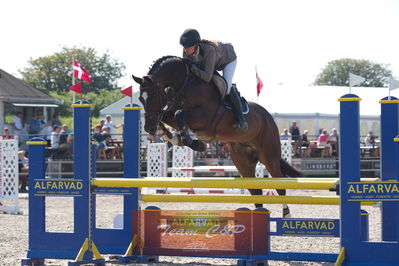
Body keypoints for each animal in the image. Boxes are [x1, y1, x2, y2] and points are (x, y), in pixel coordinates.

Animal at [133, 55, 304, 217]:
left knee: (280, 186)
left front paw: (194, 143)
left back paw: (286, 214)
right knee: (256, 191)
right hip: (243, 162)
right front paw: (169, 135)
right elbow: (167, 116)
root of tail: (268, 117)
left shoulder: (205, 118)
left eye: (153, 96)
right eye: (141, 98)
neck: (184, 84)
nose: (149, 128)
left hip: (269, 157)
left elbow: (179, 114)